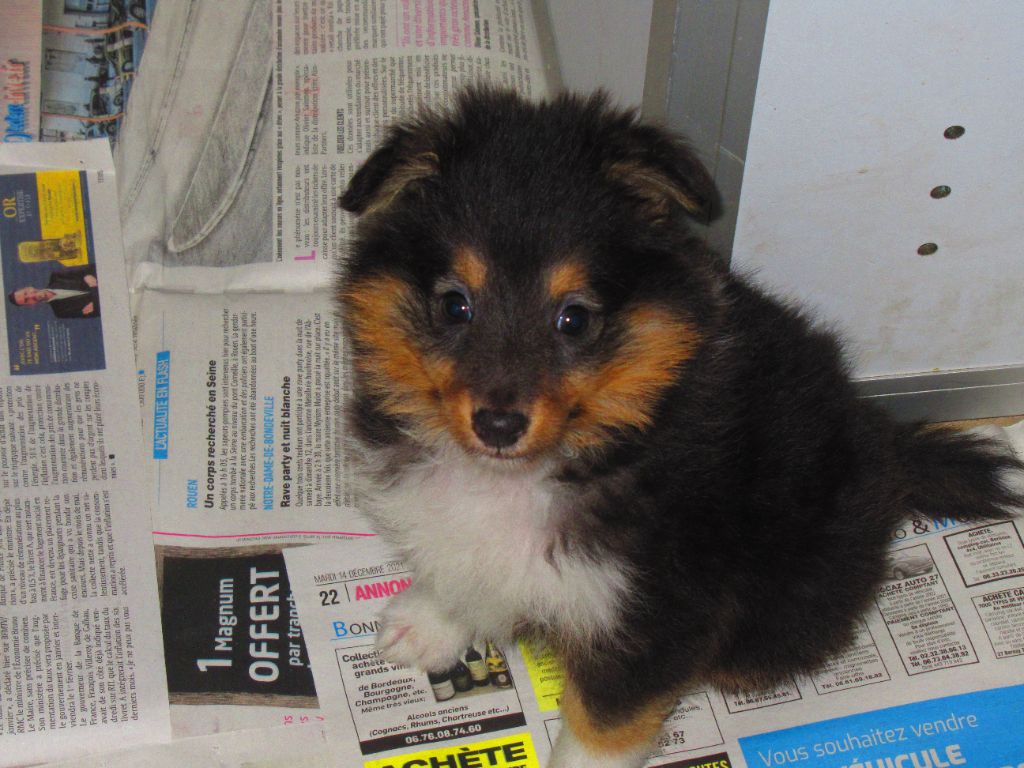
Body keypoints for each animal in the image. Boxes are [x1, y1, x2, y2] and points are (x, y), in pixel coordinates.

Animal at [337, 91, 1024, 768]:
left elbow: (602, 728)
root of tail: (885, 446)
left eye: (574, 318)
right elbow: (459, 557)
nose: (499, 425)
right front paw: (429, 624)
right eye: (455, 306)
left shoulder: (660, 607)